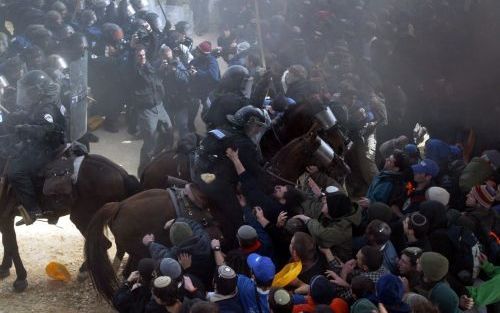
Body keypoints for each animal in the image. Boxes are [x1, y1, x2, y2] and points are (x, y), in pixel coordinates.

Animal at [0, 155, 141, 292]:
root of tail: (123, 174)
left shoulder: (6, 215)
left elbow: (11, 244)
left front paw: (20, 279)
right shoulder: (5, 217)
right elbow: (7, 242)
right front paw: (4, 268)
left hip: (83, 217)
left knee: (105, 243)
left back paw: (86, 271)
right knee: (119, 245)